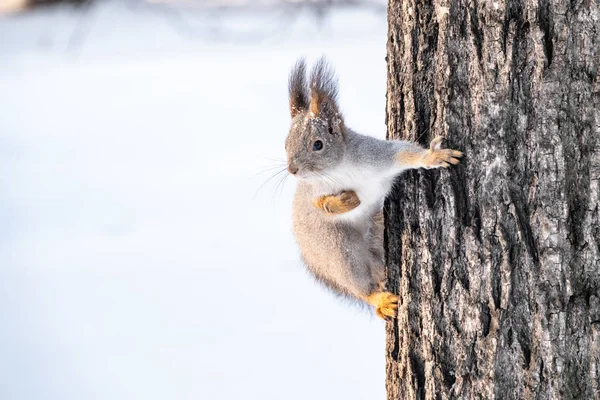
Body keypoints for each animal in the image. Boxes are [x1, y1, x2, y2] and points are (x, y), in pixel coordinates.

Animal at [284, 57, 462, 320]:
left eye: (318, 144)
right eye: (286, 143)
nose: (292, 170)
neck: (339, 168)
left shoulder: (377, 156)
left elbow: (404, 153)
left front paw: (432, 156)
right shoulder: (312, 188)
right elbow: (318, 204)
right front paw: (345, 201)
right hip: (338, 250)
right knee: (359, 285)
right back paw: (379, 300)